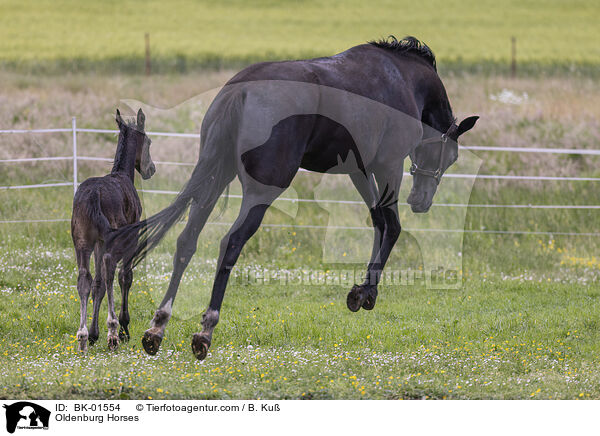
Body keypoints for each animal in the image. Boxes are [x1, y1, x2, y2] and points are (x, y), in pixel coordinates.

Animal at [110, 35, 480, 360]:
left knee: (187, 240)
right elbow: (392, 224)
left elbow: (378, 220)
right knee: (230, 243)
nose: (422, 201)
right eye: (450, 157)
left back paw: (157, 327)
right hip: (262, 190)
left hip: (214, 177)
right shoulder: (388, 166)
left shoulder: (359, 169)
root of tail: (242, 89)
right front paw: (367, 292)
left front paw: (361, 291)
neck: (403, 79)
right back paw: (205, 330)